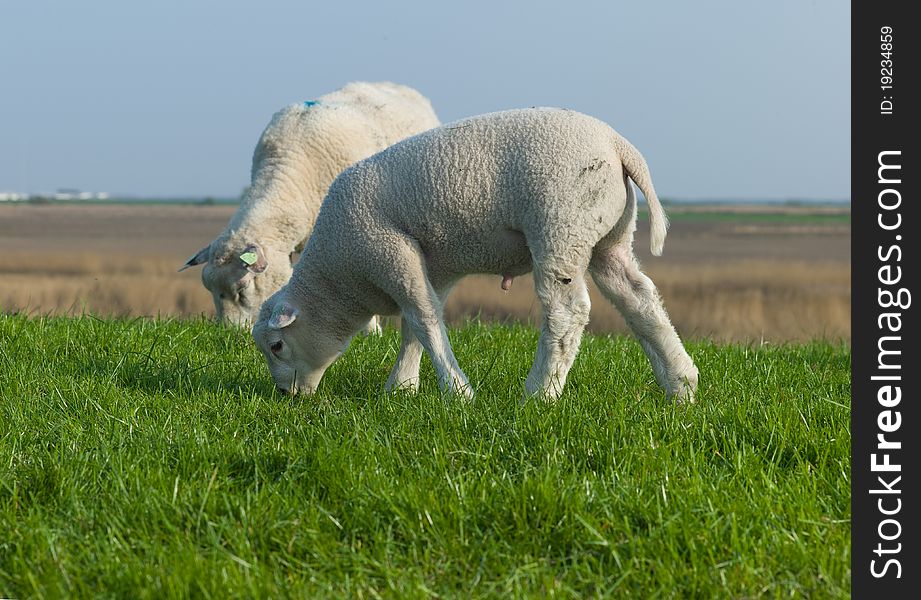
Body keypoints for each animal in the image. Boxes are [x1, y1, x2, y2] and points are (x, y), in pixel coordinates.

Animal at [252, 106, 696, 404]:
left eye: (276, 346)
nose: (286, 395)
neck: (340, 274)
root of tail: (618, 145)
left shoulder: (386, 249)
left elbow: (424, 319)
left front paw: (456, 391)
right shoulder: (433, 264)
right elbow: (416, 323)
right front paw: (403, 388)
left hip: (559, 225)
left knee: (566, 312)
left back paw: (540, 393)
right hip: (609, 236)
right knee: (638, 298)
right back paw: (681, 384)